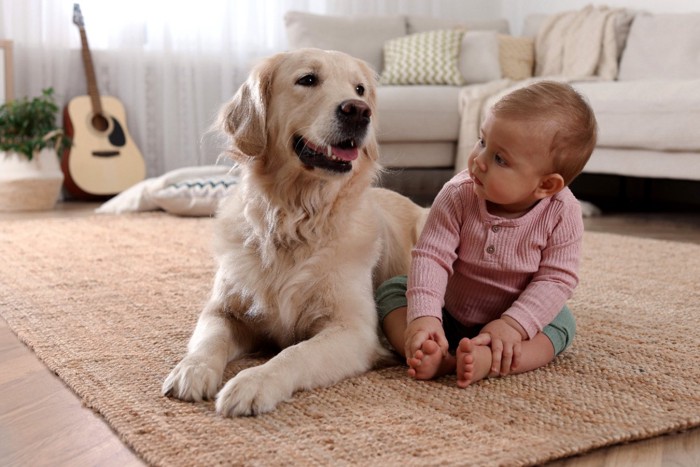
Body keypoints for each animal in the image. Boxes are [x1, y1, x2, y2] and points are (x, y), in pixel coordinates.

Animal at [163, 48, 426, 416]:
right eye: (308, 79)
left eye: (359, 89)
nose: (360, 111)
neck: (295, 219)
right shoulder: (223, 310)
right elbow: (208, 339)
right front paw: (192, 369)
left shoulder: (353, 330)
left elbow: (295, 353)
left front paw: (253, 382)